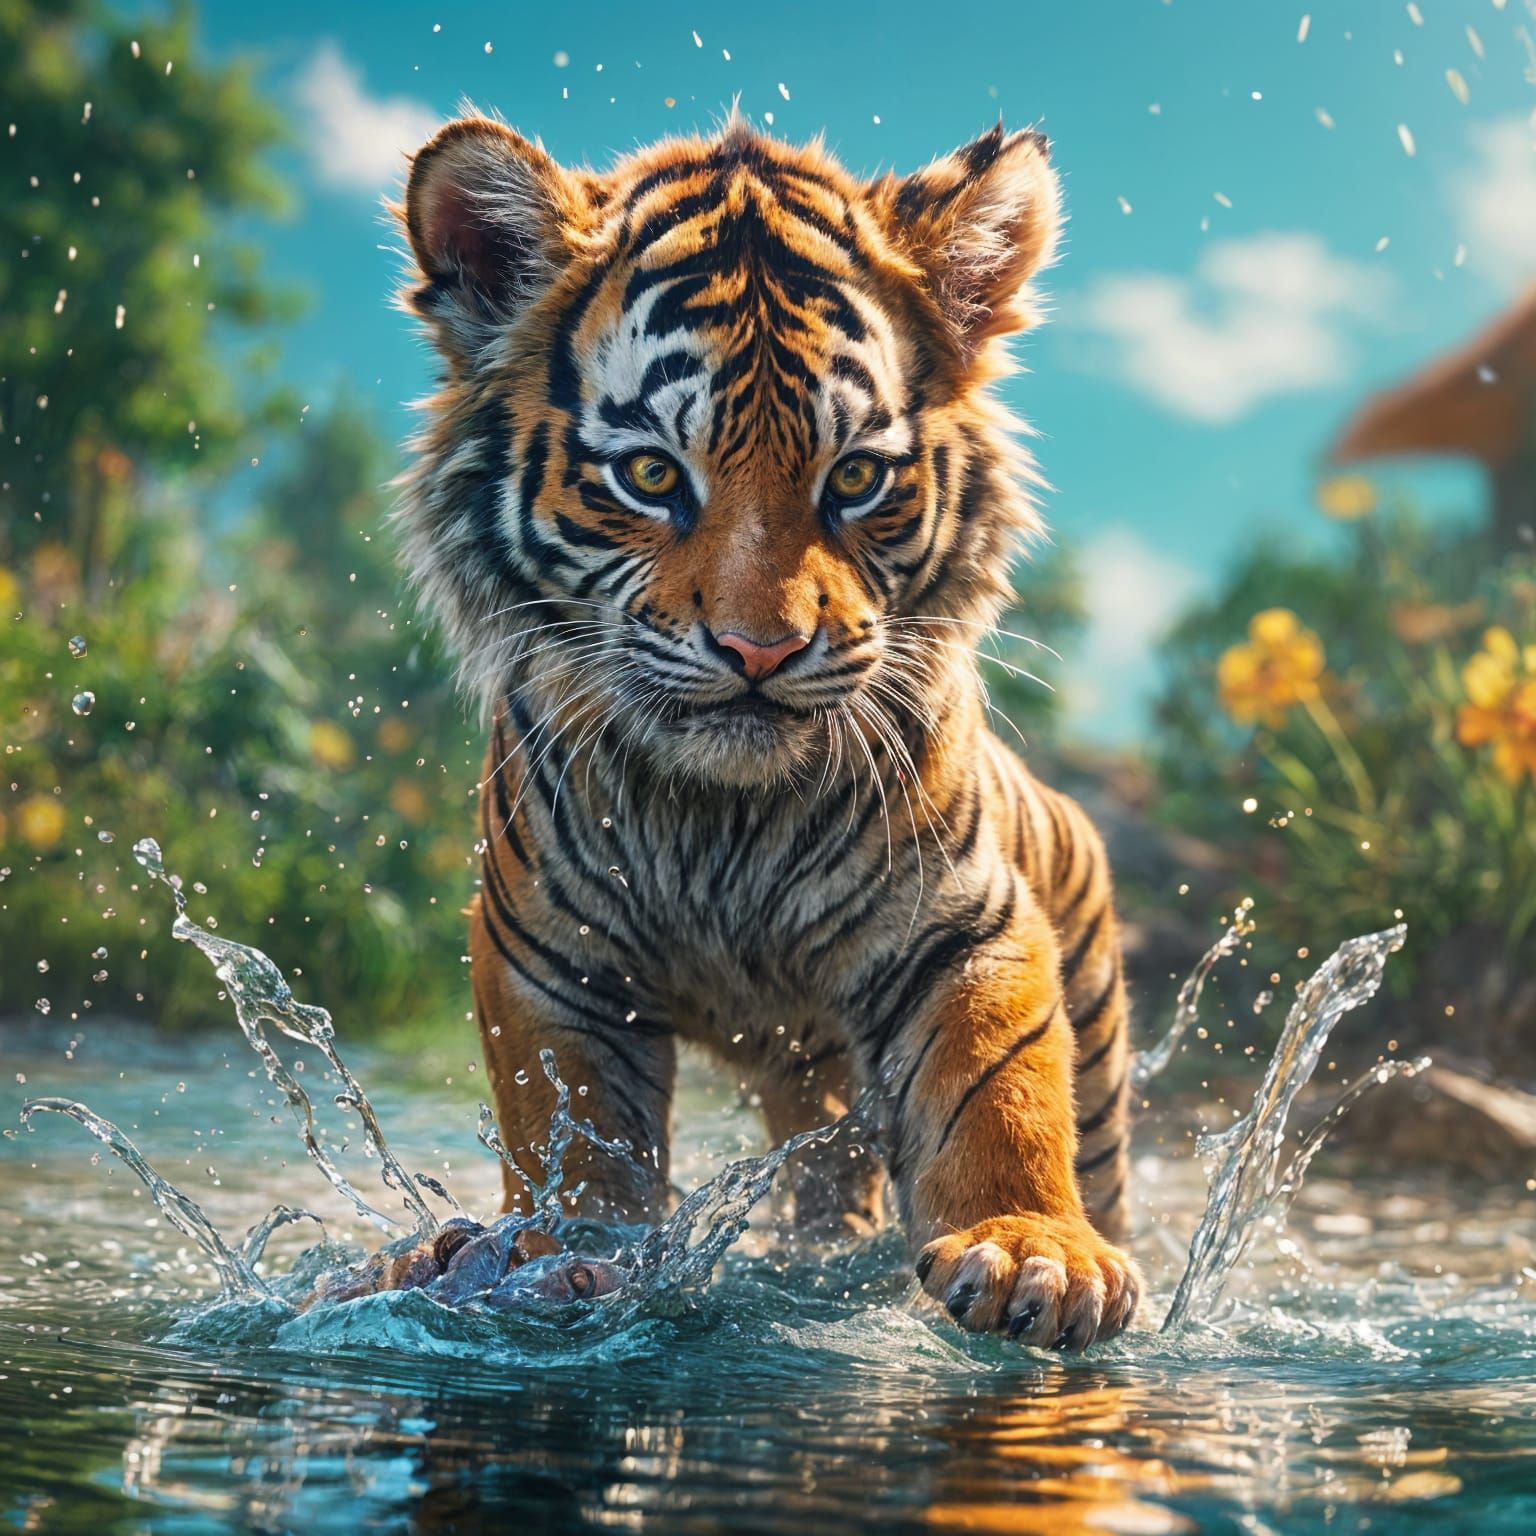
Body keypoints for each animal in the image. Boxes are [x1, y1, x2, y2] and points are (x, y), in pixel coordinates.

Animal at [393, 110, 1140, 1349]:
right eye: (652, 474)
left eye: (858, 477)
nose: (759, 651)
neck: (722, 820)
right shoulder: (548, 954)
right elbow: (572, 1128)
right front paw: (558, 1255)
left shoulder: (963, 921)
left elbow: (1002, 1086)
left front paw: (1036, 1253)